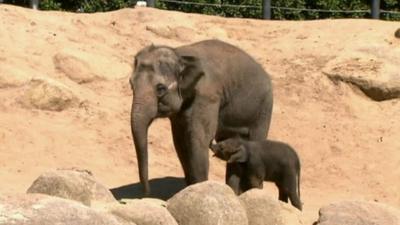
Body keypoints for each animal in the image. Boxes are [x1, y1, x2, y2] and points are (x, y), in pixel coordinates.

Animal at [130, 39, 274, 194]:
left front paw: (200, 187)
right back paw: (234, 193)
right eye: (131, 85)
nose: (146, 193)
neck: (179, 55)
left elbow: (198, 140)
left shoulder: (206, 96)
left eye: (160, 88)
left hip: (263, 109)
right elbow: (180, 143)